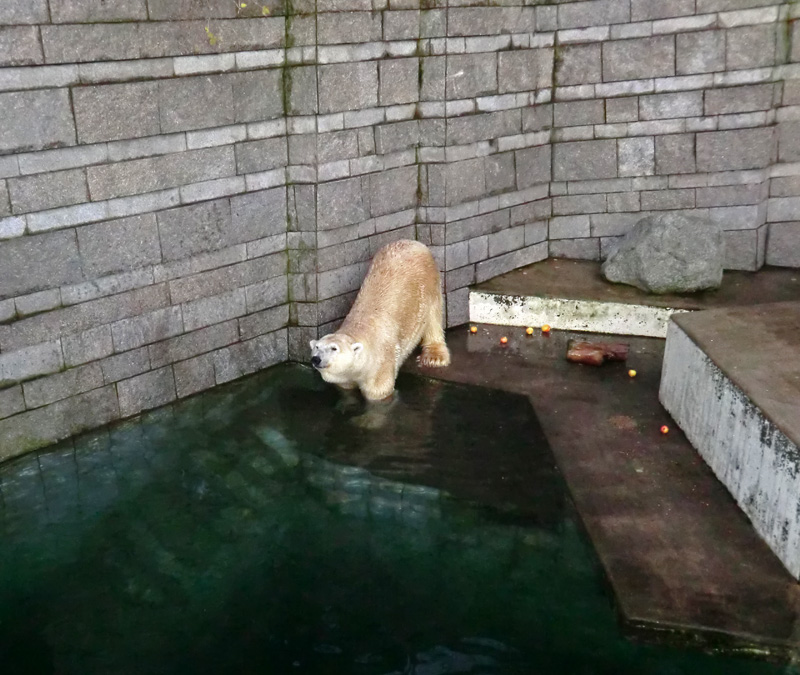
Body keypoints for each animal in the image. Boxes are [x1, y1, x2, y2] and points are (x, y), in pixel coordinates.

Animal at [310, 240, 450, 402]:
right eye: (317, 347)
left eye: (334, 348)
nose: (316, 359)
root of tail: (415, 243)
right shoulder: (346, 379)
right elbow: (346, 388)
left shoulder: (380, 363)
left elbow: (379, 391)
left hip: (428, 284)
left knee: (433, 317)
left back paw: (434, 357)